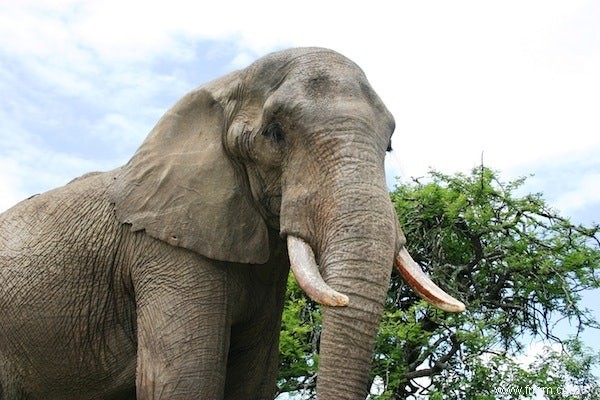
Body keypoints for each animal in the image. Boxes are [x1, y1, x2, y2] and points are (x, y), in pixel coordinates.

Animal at [0, 47, 464, 400]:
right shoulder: (164, 252)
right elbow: (185, 382)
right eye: (275, 134)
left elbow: (253, 380)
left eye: (389, 145)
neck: (227, 87)